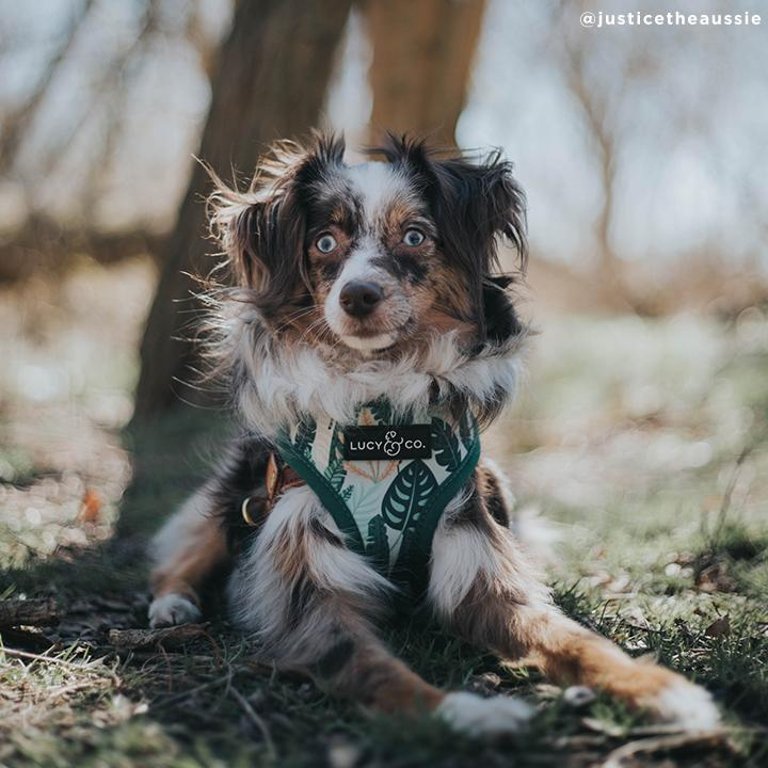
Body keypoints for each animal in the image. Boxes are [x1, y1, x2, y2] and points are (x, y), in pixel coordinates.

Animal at [148, 134, 720, 736]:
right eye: (324, 242)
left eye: (415, 236)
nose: (357, 296)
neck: (383, 421)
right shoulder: (308, 593)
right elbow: (379, 671)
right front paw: (466, 712)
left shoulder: (479, 566)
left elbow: (572, 638)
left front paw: (657, 688)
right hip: (239, 496)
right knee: (182, 555)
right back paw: (172, 608)